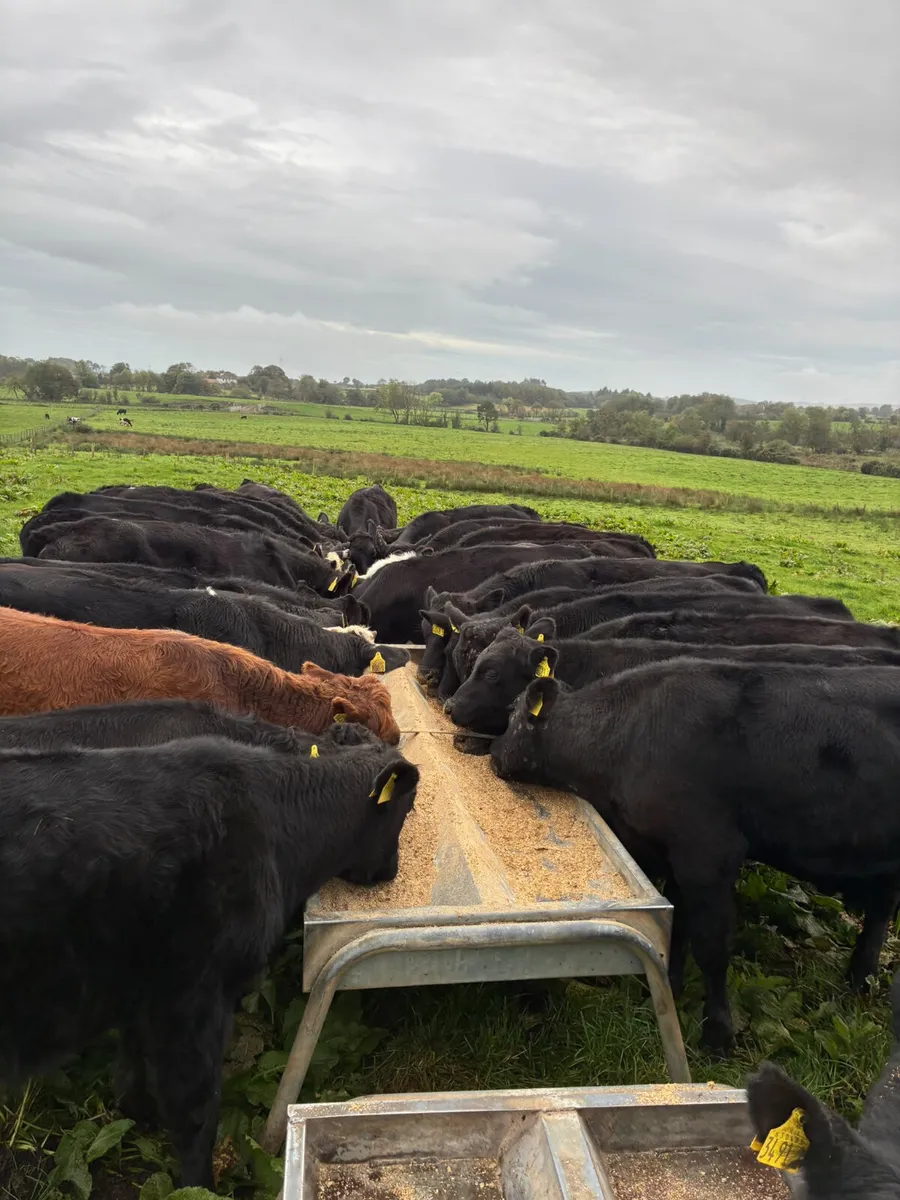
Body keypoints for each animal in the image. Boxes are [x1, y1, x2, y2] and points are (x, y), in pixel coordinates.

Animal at [0, 736, 418, 1186]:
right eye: (405, 810)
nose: (390, 872)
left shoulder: (144, 990)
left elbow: (132, 1060)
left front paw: (138, 1112)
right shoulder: (195, 997)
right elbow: (196, 1110)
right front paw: (201, 1182)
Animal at [491, 661, 900, 1051]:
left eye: (512, 713)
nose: (492, 753)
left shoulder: (708, 851)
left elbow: (711, 945)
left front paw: (717, 1036)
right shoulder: (676, 855)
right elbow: (678, 929)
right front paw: (663, 992)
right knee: (880, 913)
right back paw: (858, 982)